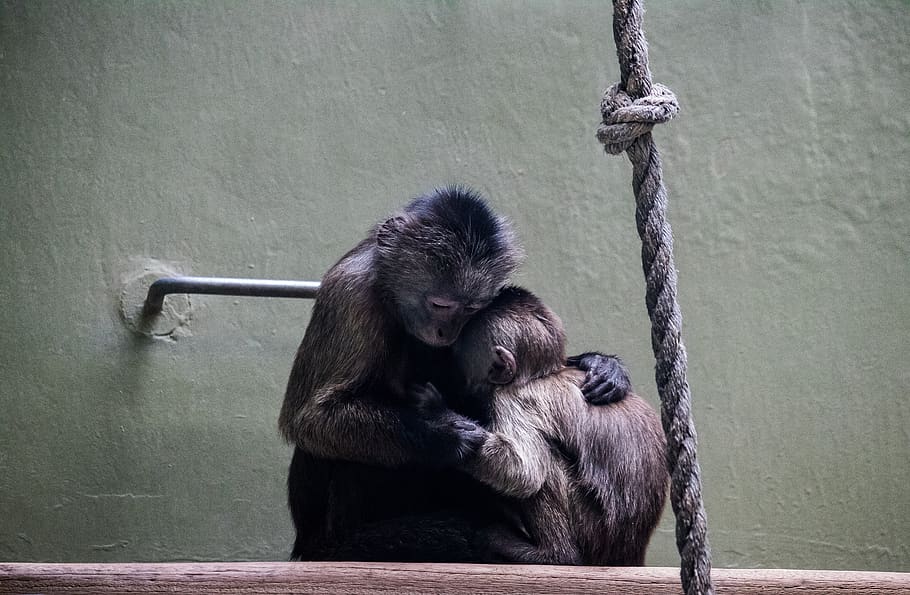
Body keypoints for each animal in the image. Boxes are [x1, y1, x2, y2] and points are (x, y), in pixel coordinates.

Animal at [280, 186, 634, 561]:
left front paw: (600, 364)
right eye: (441, 305)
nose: (445, 332)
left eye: (471, 309)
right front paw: (442, 435)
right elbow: (310, 420)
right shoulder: (351, 292)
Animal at [425, 285, 669, 565]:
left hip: (592, 530)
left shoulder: (513, 399)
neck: (542, 375)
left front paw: (442, 424)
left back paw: (555, 554)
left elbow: (525, 473)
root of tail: (629, 553)